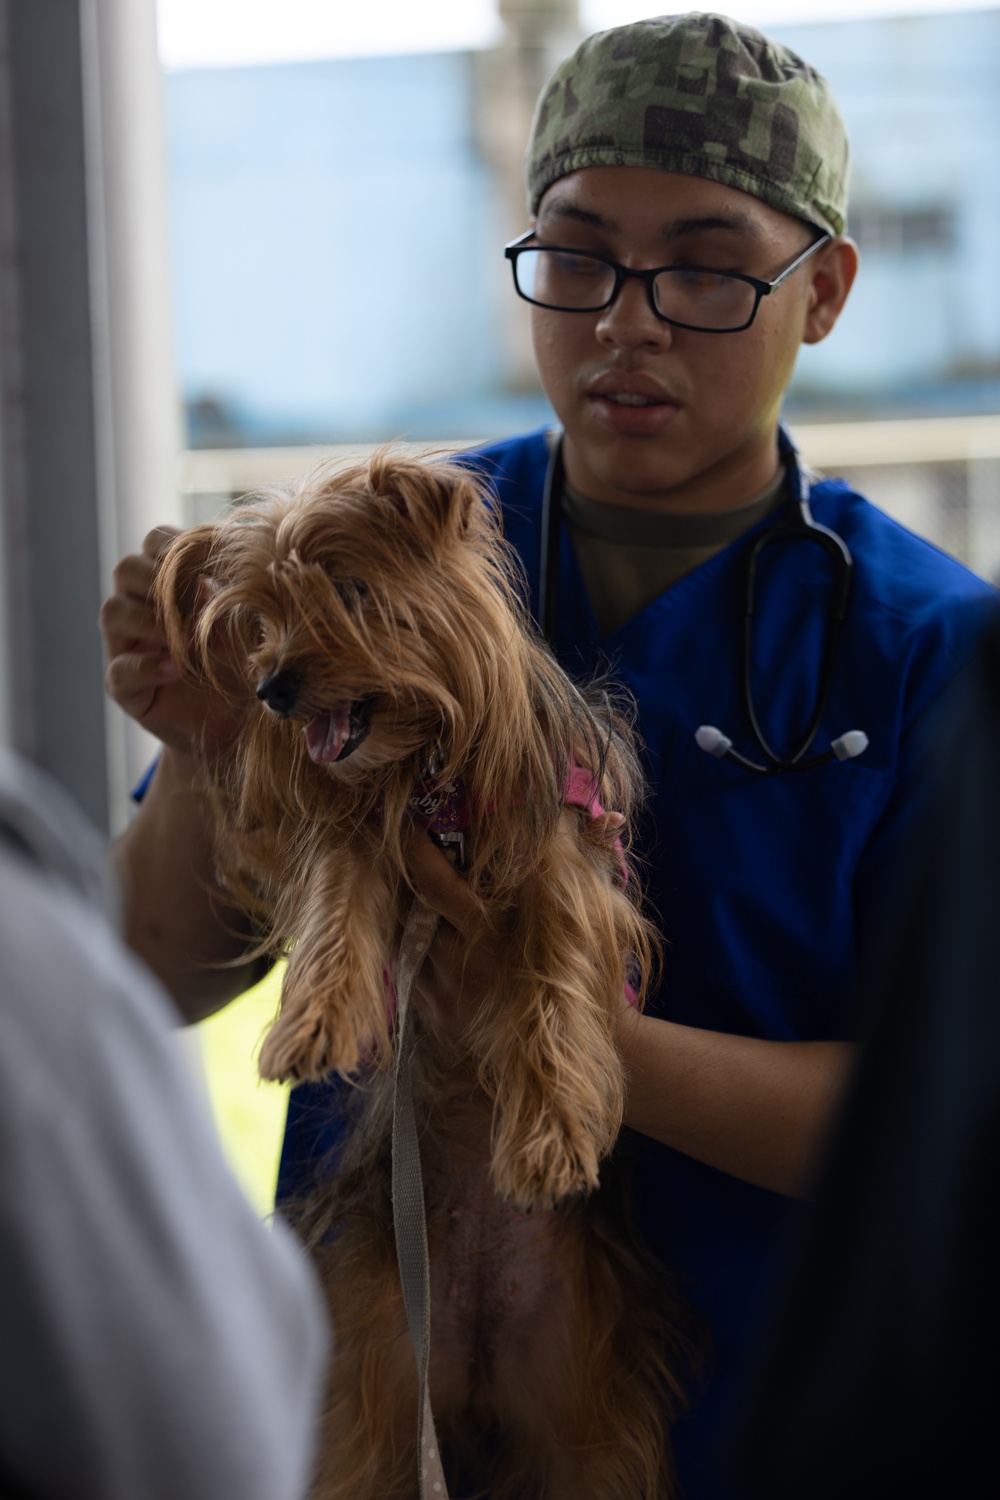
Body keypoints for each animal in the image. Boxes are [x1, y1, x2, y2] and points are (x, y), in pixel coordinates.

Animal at [156, 456, 692, 1500]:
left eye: (350, 590)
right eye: (263, 618)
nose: (274, 689)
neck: (428, 770)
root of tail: (473, 1363)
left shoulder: (560, 854)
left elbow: (553, 976)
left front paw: (551, 1133)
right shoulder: (360, 831)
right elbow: (335, 908)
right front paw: (312, 1026)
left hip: (587, 1416)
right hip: (371, 1376)